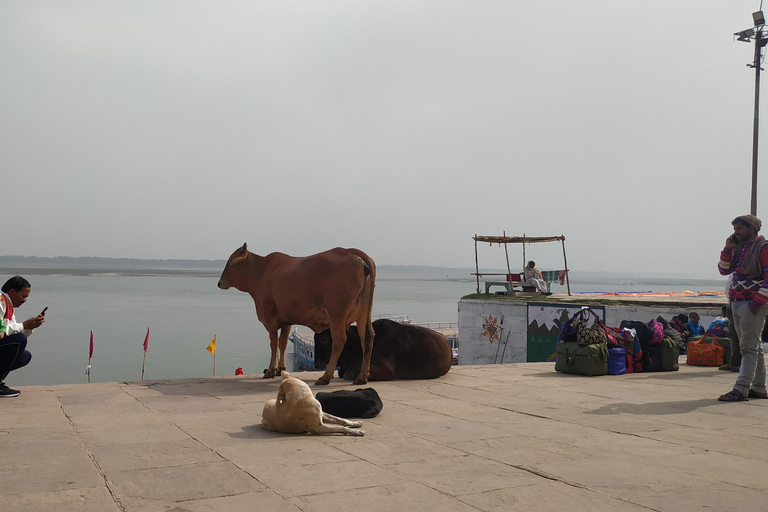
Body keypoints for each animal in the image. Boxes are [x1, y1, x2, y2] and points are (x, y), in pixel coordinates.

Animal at [218, 244, 376, 384]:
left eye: (231, 261)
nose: (219, 283)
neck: (262, 272)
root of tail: (350, 251)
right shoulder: (286, 319)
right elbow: (282, 342)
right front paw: (280, 368)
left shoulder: (270, 316)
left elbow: (273, 343)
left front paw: (271, 370)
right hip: (364, 311)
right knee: (367, 336)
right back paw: (362, 376)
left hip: (337, 314)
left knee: (339, 340)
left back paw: (326, 376)